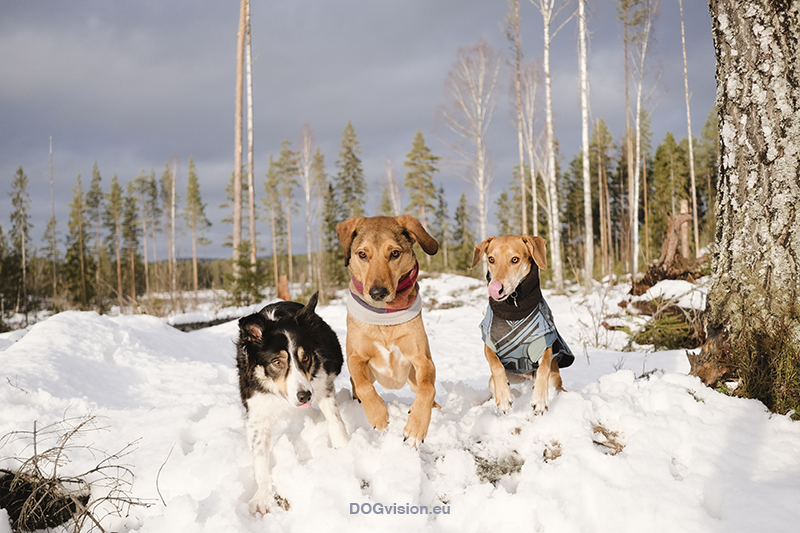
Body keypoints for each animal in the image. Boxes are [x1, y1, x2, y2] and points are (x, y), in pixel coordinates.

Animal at [336, 214, 440, 446]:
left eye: (394, 253)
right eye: (362, 254)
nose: (377, 293)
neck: (384, 317)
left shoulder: (422, 359)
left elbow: (428, 388)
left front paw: (416, 428)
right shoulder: (355, 358)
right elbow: (364, 386)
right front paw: (378, 415)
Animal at [472, 235, 572, 414]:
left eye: (515, 259)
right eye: (491, 259)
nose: (496, 288)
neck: (514, 309)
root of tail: (526, 376)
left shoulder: (543, 341)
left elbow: (543, 368)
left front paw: (539, 401)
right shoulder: (489, 343)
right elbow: (496, 365)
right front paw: (504, 398)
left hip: (555, 376)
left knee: (557, 385)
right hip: (508, 377)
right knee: (494, 383)